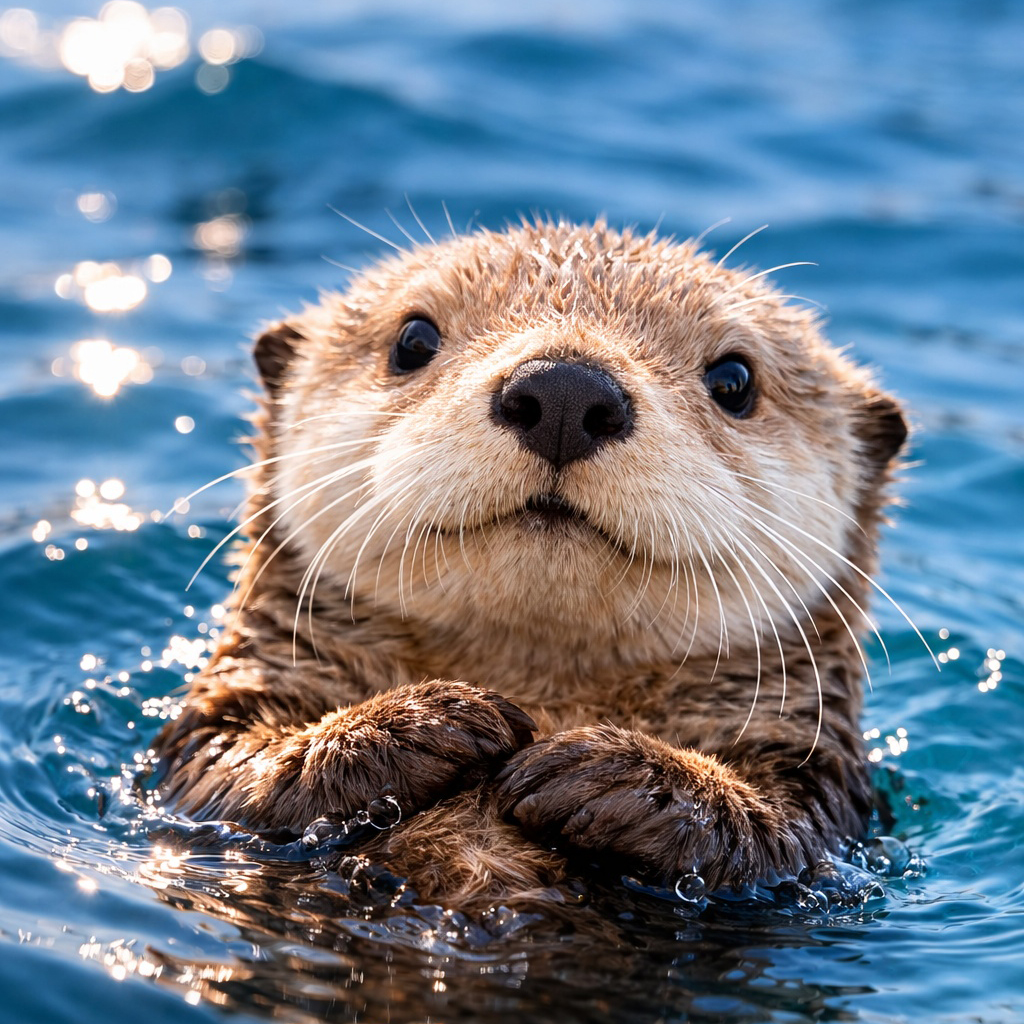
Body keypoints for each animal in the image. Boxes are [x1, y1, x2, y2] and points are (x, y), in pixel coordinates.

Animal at [155, 219, 909, 903]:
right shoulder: (228, 725)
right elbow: (234, 766)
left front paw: (616, 775)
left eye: (735, 380)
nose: (565, 392)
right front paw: (433, 720)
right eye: (412, 341)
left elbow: (773, 832)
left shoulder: (818, 793)